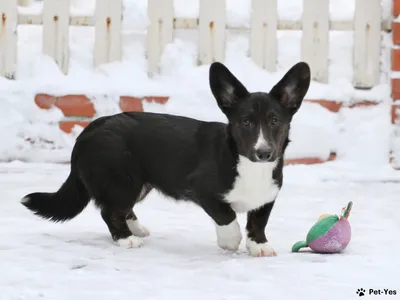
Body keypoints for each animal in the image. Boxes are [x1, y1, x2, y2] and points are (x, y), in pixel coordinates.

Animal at [21, 61, 310, 258]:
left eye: (275, 121)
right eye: (246, 122)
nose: (264, 153)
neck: (247, 164)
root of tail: (89, 130)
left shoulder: (267, 197)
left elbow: (258, 222)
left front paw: (259, 246)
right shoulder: (203, 191)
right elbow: (227, 216)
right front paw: (230, 242)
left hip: (139, 184)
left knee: (122, 208)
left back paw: (136, 229)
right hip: (122, 181)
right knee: (109, 211)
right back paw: (126, 239)